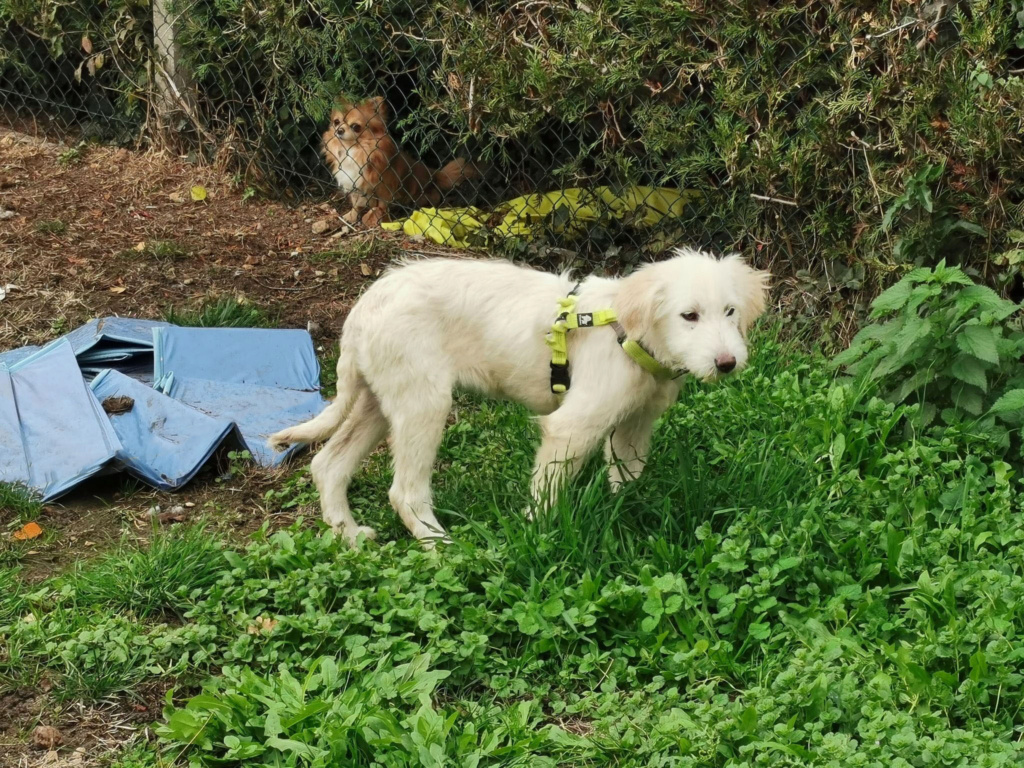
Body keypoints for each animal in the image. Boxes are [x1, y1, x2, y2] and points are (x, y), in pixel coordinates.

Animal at [270, 249, 770, 544]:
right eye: (689, 316)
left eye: (730, 312)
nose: (727, 363)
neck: (629, 332)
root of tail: (364, 305)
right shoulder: (571, 428)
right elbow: (547, 496)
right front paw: (538, 539)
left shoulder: (633, 427)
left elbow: (626, 481)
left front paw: (628, 515)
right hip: (423, 403)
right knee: (404, 492)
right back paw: (441, 547)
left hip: (380, 399)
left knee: (329, 464)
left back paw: (350, 535)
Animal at [321, 97, 477, 227]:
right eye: (336, 122)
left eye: (355, 126)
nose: (339, 130)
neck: (353, 149)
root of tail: (434, 175)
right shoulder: (355, 184)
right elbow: (356, 204)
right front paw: (351, 216)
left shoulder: (384, 186)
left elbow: (381, 205)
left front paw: (377, 218)